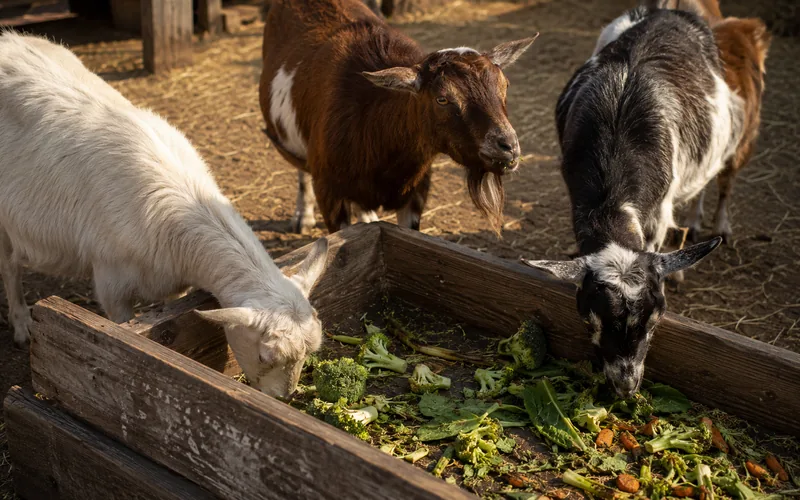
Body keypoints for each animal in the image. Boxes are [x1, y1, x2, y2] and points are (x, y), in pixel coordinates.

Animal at [0, 31, 329, 398]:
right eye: (264, 356)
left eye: (311, 350)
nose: (284, 398)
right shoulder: (112, 283)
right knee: (9, 266)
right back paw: (22, 324)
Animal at [259, 0, 536, 235]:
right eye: (442, 99)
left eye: (505, 85)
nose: (508, 147)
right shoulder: (330, 194)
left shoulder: (416, 193)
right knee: (301, 170)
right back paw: (302, 218)